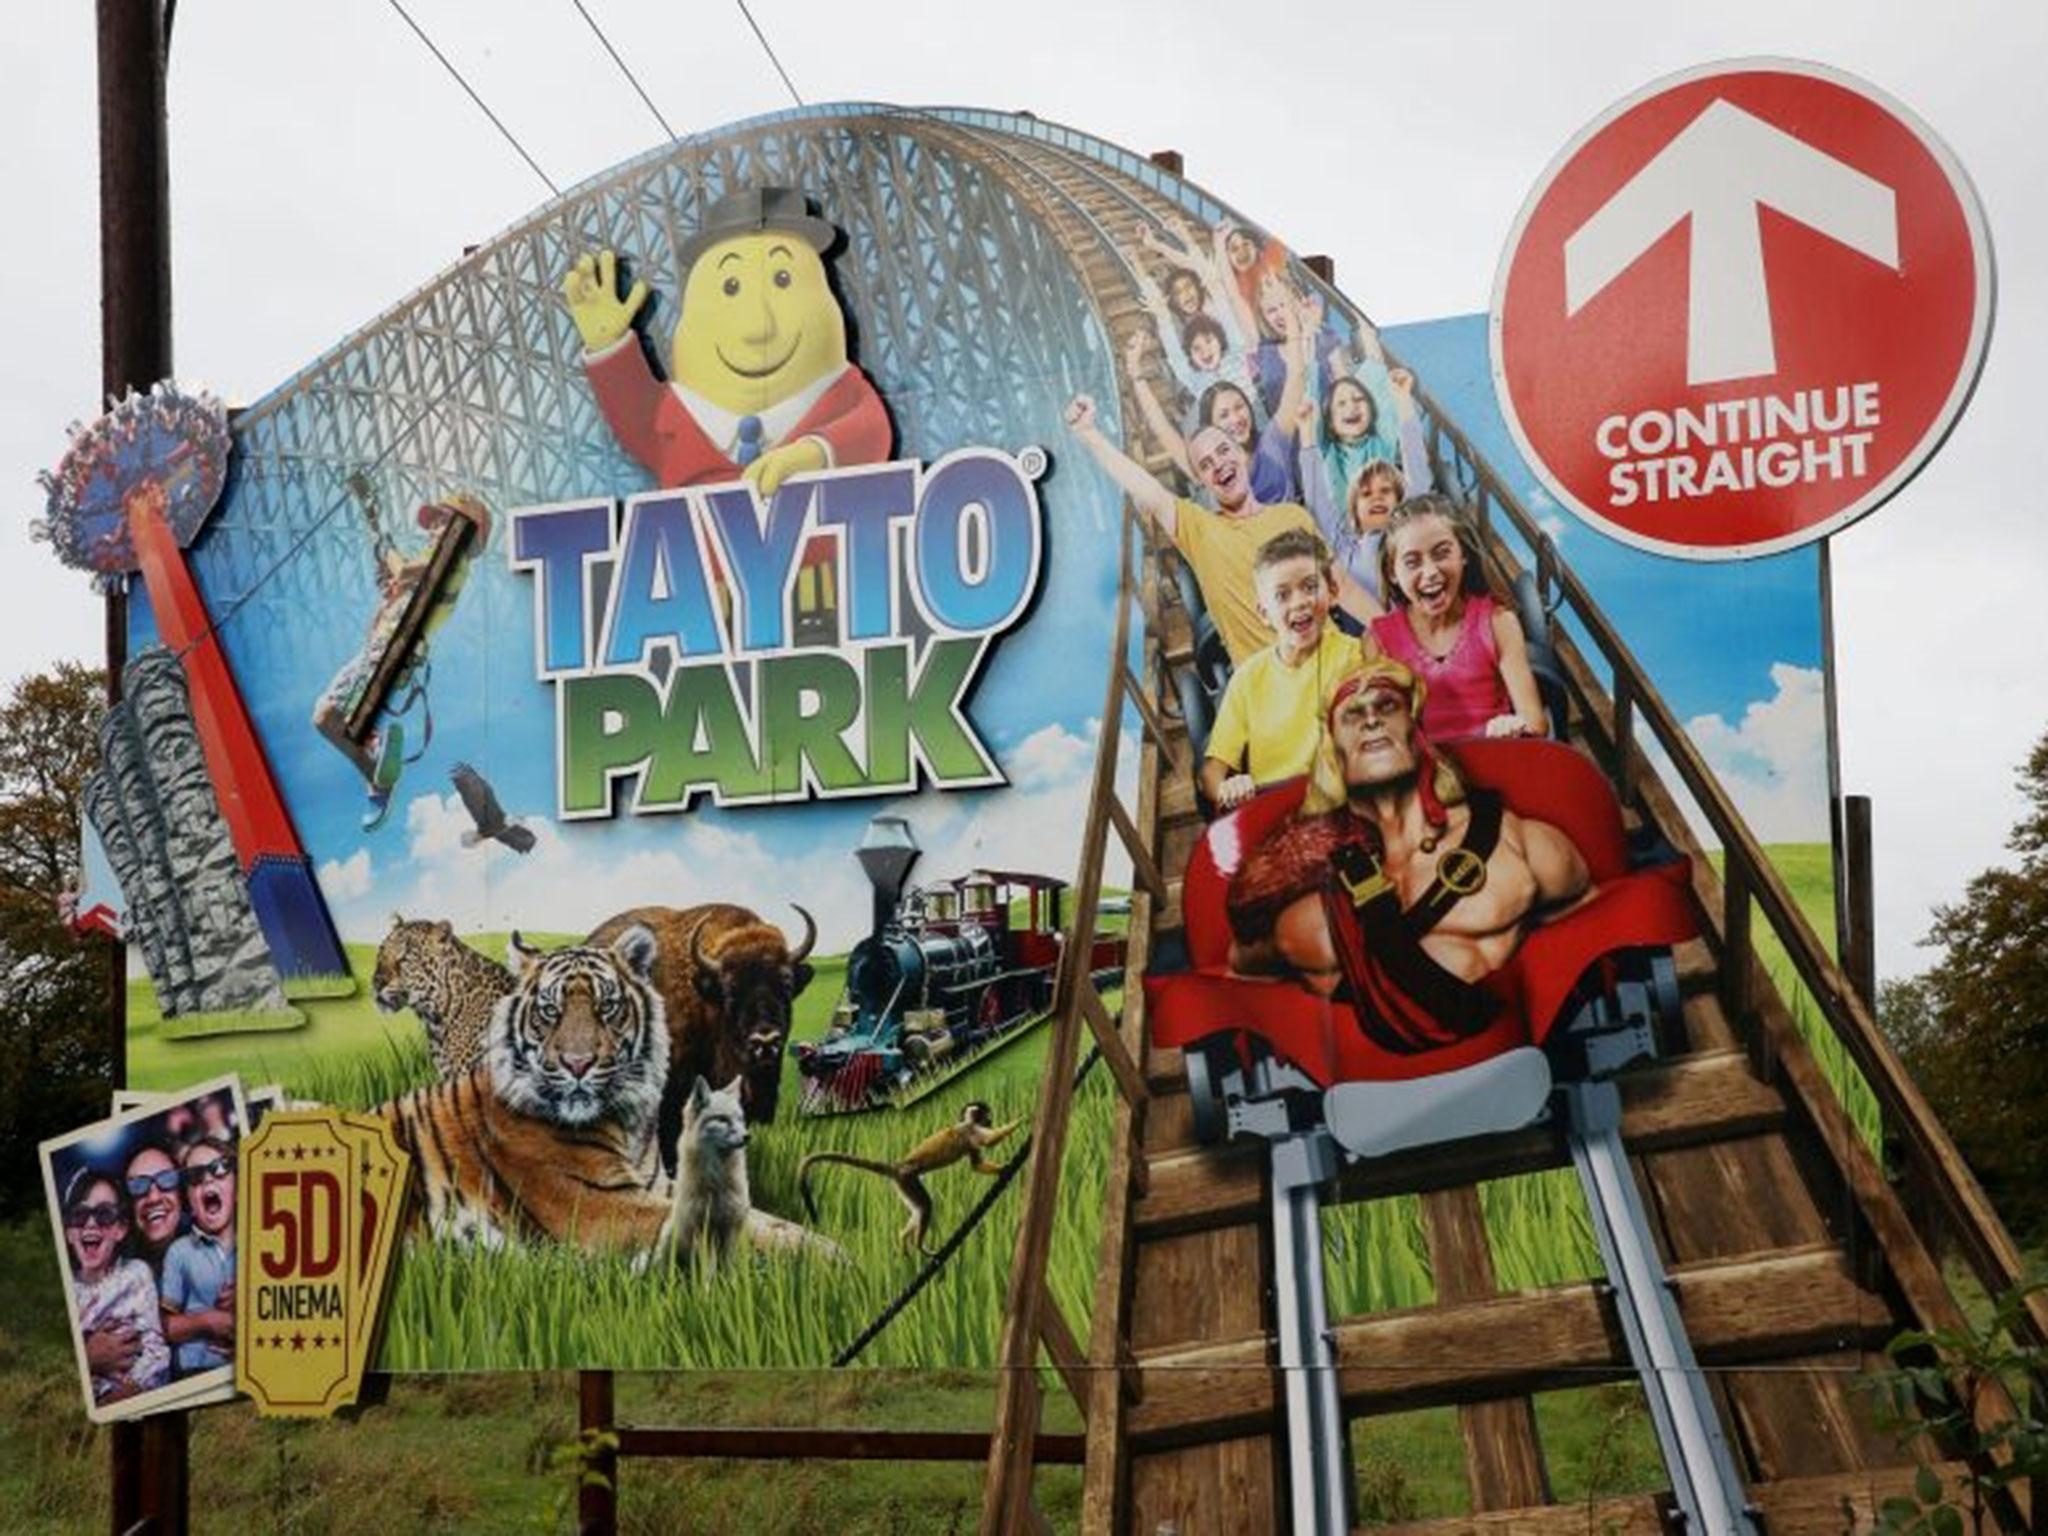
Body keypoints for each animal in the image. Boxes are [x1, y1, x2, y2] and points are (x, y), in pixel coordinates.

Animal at [798, 1097, 1024, 1253]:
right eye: (987, 1115)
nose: (991, 1120)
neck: (968, 1123)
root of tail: (898, 1166)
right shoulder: (970, 1129)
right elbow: (989, 1141)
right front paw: (1020, 1121)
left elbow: (976, 1165)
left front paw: (1003, 1169)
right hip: (907, 1179)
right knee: (926, 1205)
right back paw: (919, 1245)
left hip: (903, 1184)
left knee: (918, 1208)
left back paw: (903, 1237)